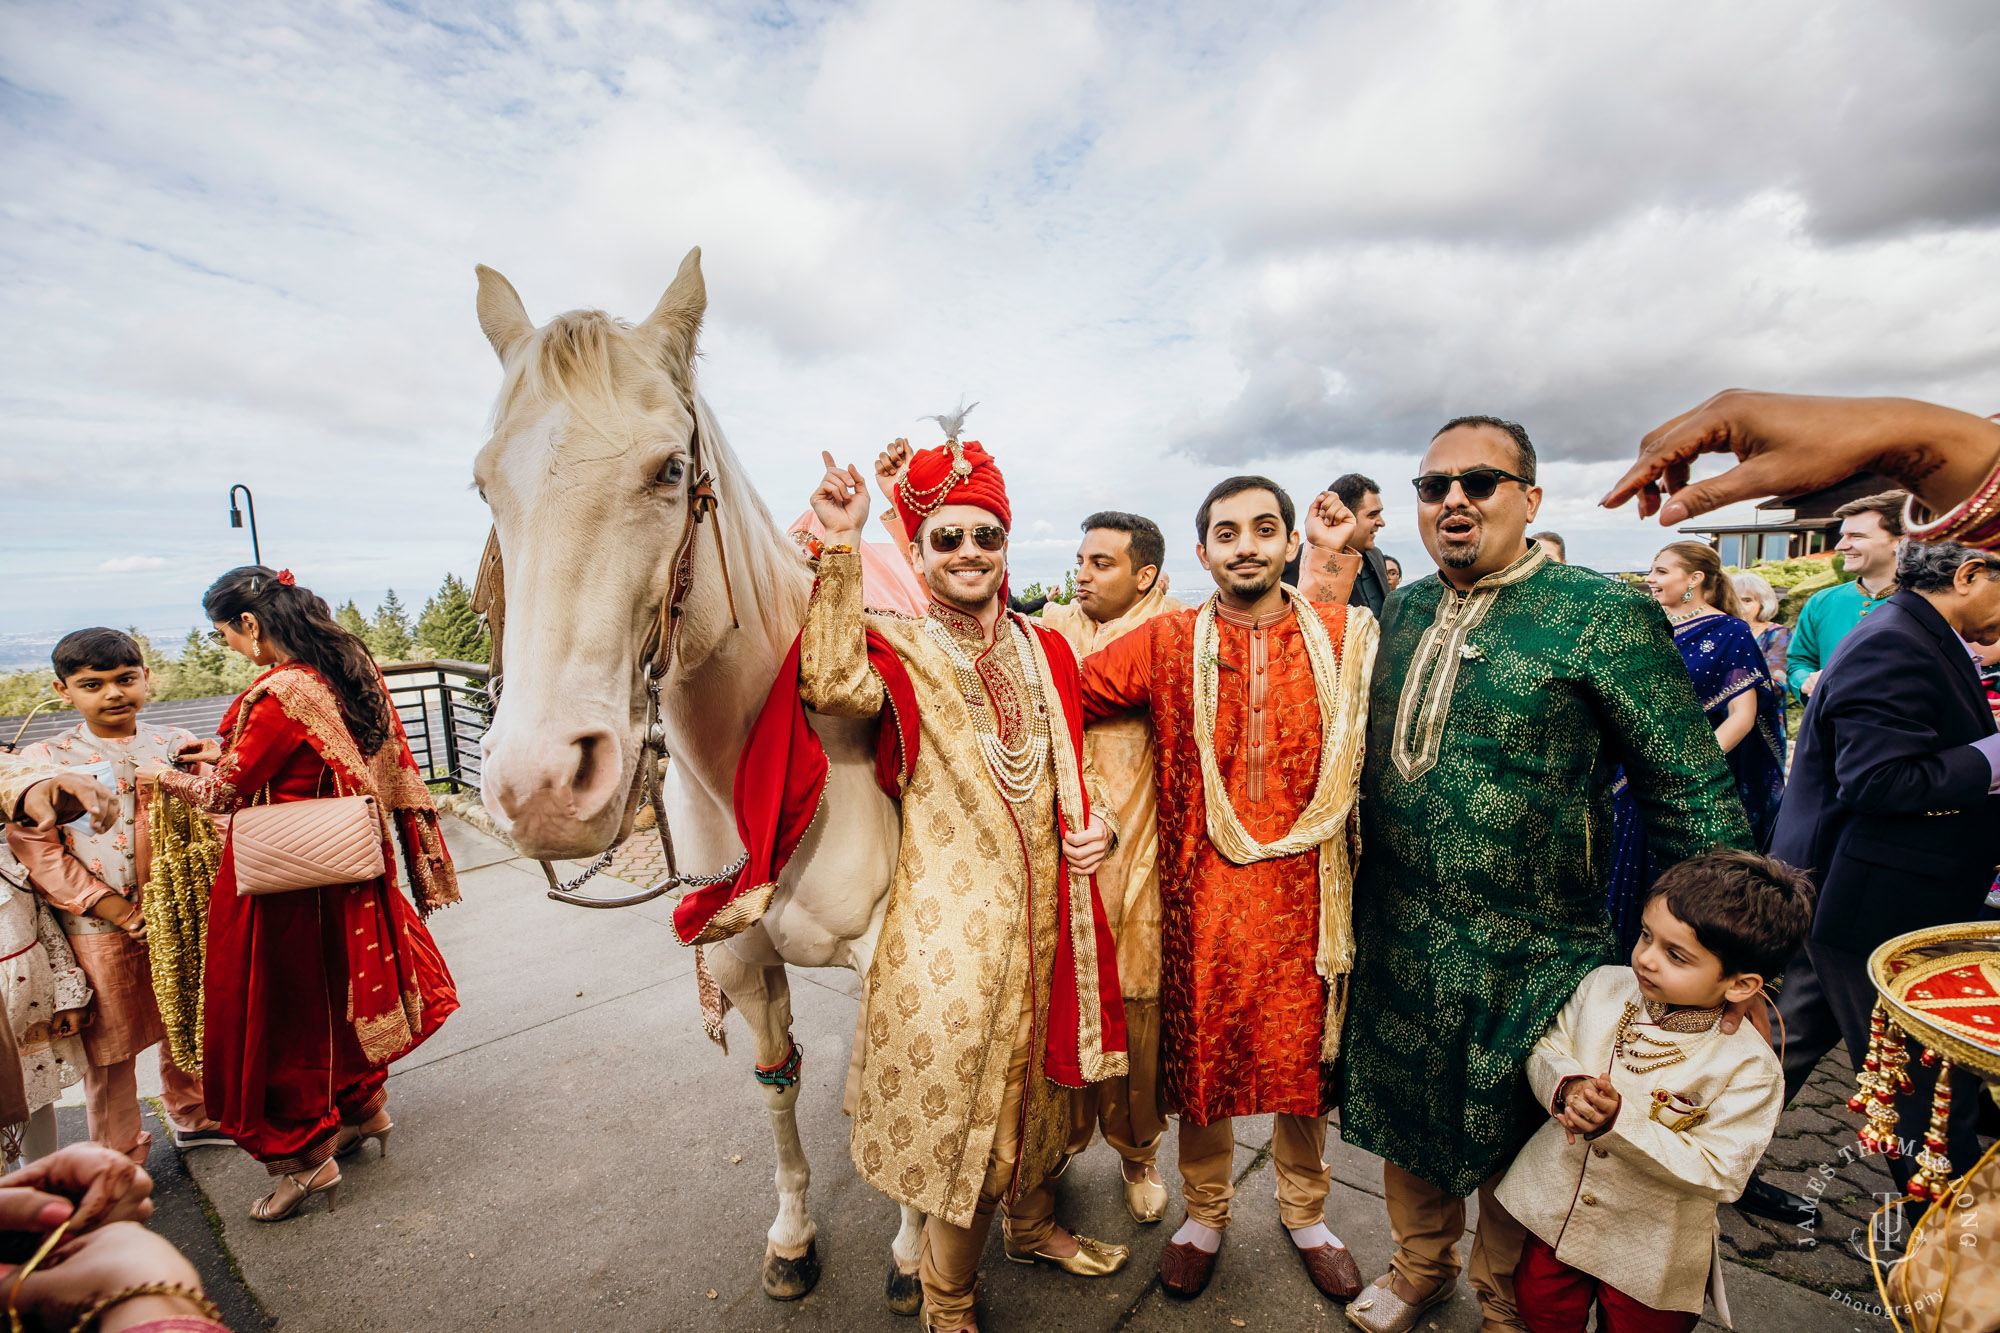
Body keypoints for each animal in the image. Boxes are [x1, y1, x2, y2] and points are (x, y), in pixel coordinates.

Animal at [472, 249, 924, 1296]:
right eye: (484, 487)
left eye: (671, 469)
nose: (539, 783)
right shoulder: (739, 963)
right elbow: (778, 1089)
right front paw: (795, 1233)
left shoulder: (889, 946)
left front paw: (914, 1253)